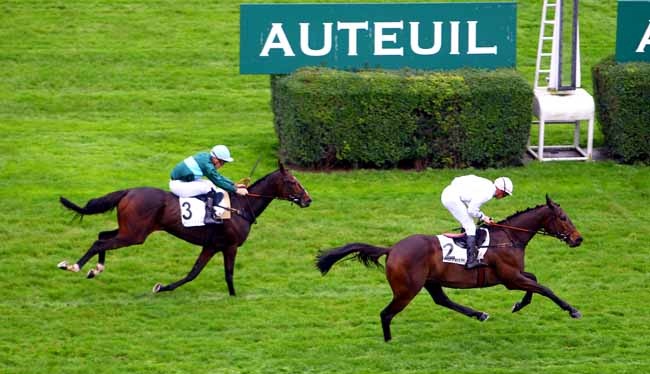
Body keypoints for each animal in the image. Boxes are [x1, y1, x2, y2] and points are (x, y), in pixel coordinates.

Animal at [57, 164, 310, 296]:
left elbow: (193, 273)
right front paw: (234, 296)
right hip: (135, 235)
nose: (308, 200)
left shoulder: (211, 246)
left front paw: (162, 287)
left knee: (102, 236)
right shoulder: (230, 246)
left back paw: (95, 269)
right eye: (292, 182)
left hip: (128, 230)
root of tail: (128, 191)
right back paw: (73, 266)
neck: (240, 207)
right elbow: (228, 273)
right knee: (100, 242)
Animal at [314, 196, 584, 342]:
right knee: (386, 314)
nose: (578, 239)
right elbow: (544, 288)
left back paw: (479, 314)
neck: (509, 237)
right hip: (407, 290)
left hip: (430, 281)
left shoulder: (515, 275)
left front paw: (518, 305)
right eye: (563, 217)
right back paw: (389, 342)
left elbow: (535, 281)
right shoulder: (510, 278)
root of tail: (392, 249)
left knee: (441, 300)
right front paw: (572, 310)